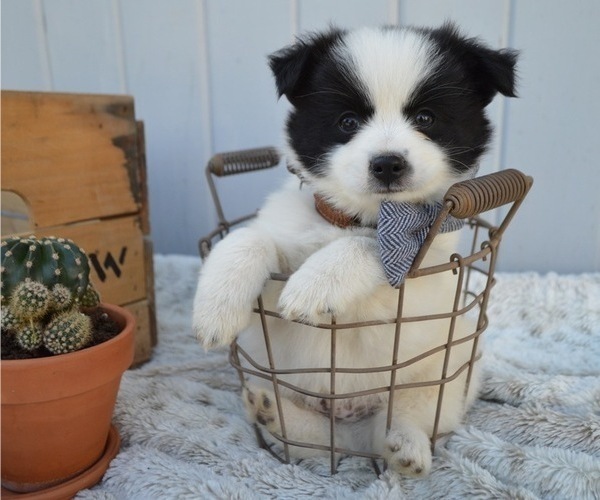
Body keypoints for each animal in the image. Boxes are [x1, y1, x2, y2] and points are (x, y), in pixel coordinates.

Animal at [195, 24, 516, 476]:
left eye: (426, 118)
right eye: (347, 122)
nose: (387, 163)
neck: (357, 218)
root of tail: (349, 414)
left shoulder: (419, 272)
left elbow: (371, 248)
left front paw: (313, 285)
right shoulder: (282, 253)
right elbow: (248, 239)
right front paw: (216, 310)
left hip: (449, 366)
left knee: (397, 422)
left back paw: (406, 448)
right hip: (288, 382)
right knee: (320, 441)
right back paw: (272, 411)